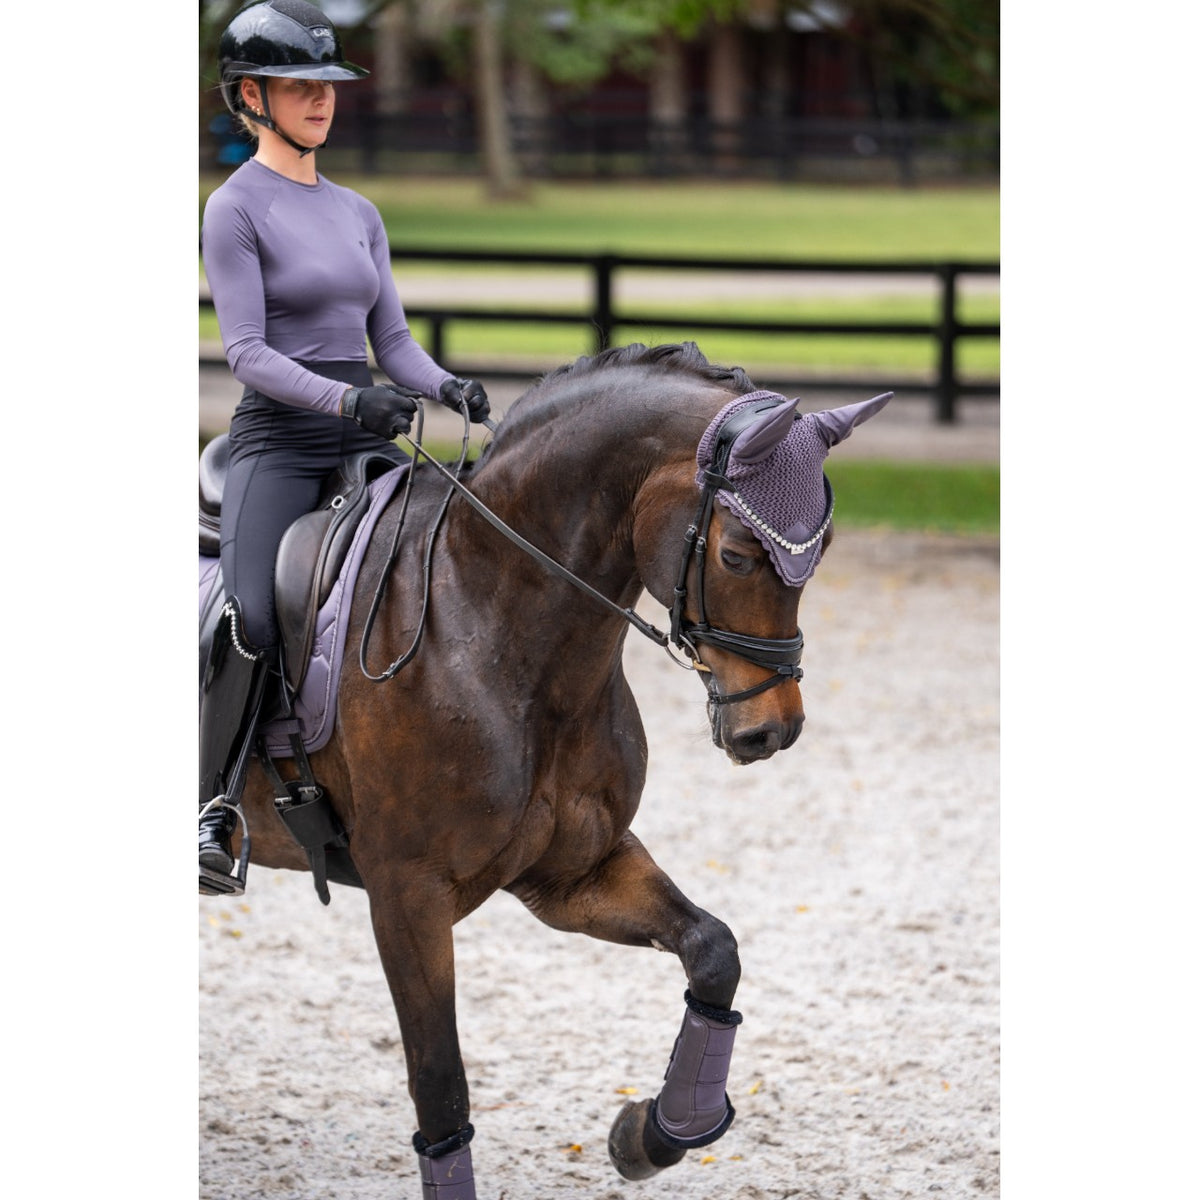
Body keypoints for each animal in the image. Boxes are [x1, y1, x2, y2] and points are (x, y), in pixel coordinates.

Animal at [200, 342, 891, 1198]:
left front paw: (654, 1134)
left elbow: (713, 949)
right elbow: (441, 1082)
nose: (773, 729)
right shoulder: (406, 895)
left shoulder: (572, 872)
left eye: (818, 554)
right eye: (734, 554)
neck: (490, 625)